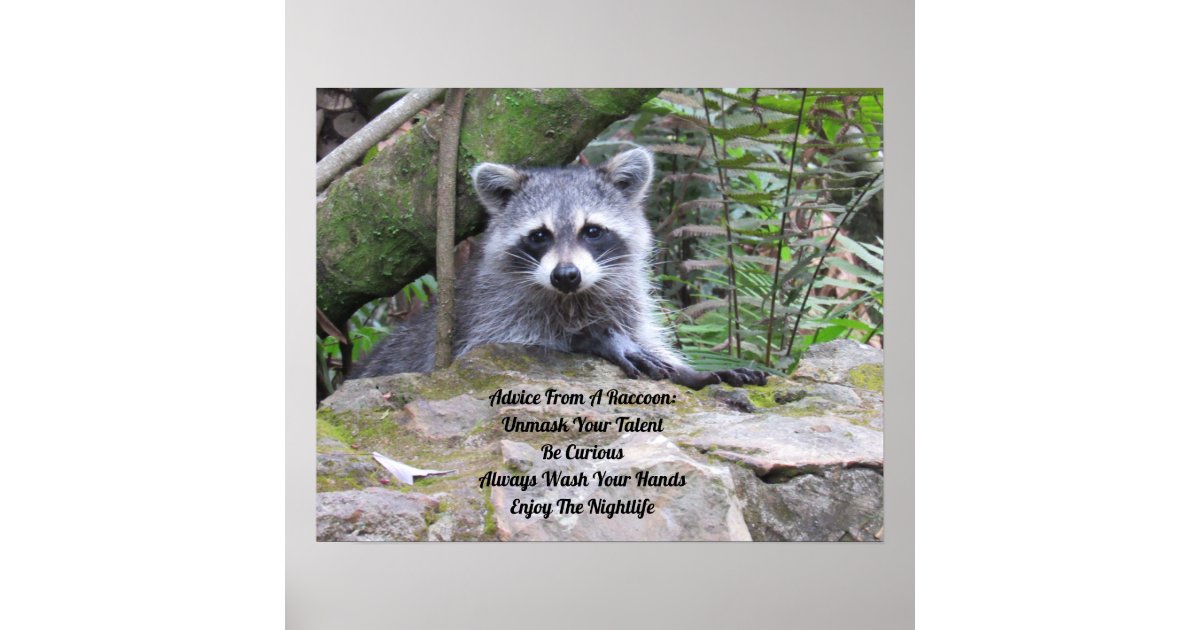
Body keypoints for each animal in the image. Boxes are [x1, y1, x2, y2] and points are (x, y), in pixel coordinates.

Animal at [352, 147, 767, 390]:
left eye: (592, 231)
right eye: (539, 235)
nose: (565, 275)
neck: (573, 297)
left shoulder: (625, 300)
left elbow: (645, 338)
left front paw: (691, 372)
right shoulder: (488, 311)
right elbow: (505, 343)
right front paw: (595, 337)